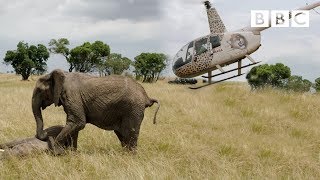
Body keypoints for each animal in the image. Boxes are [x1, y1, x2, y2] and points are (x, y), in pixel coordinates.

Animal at [32, 69, 160, 154]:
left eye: (40, 90)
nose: (45, 134)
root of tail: (147, 97)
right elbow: (74, 125)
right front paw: (72, 154)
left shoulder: (72, 96)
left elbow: (78, 122)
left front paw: (56, 152)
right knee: (122, 134)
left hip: (133, 109)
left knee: (130, 132)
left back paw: (130, 156)